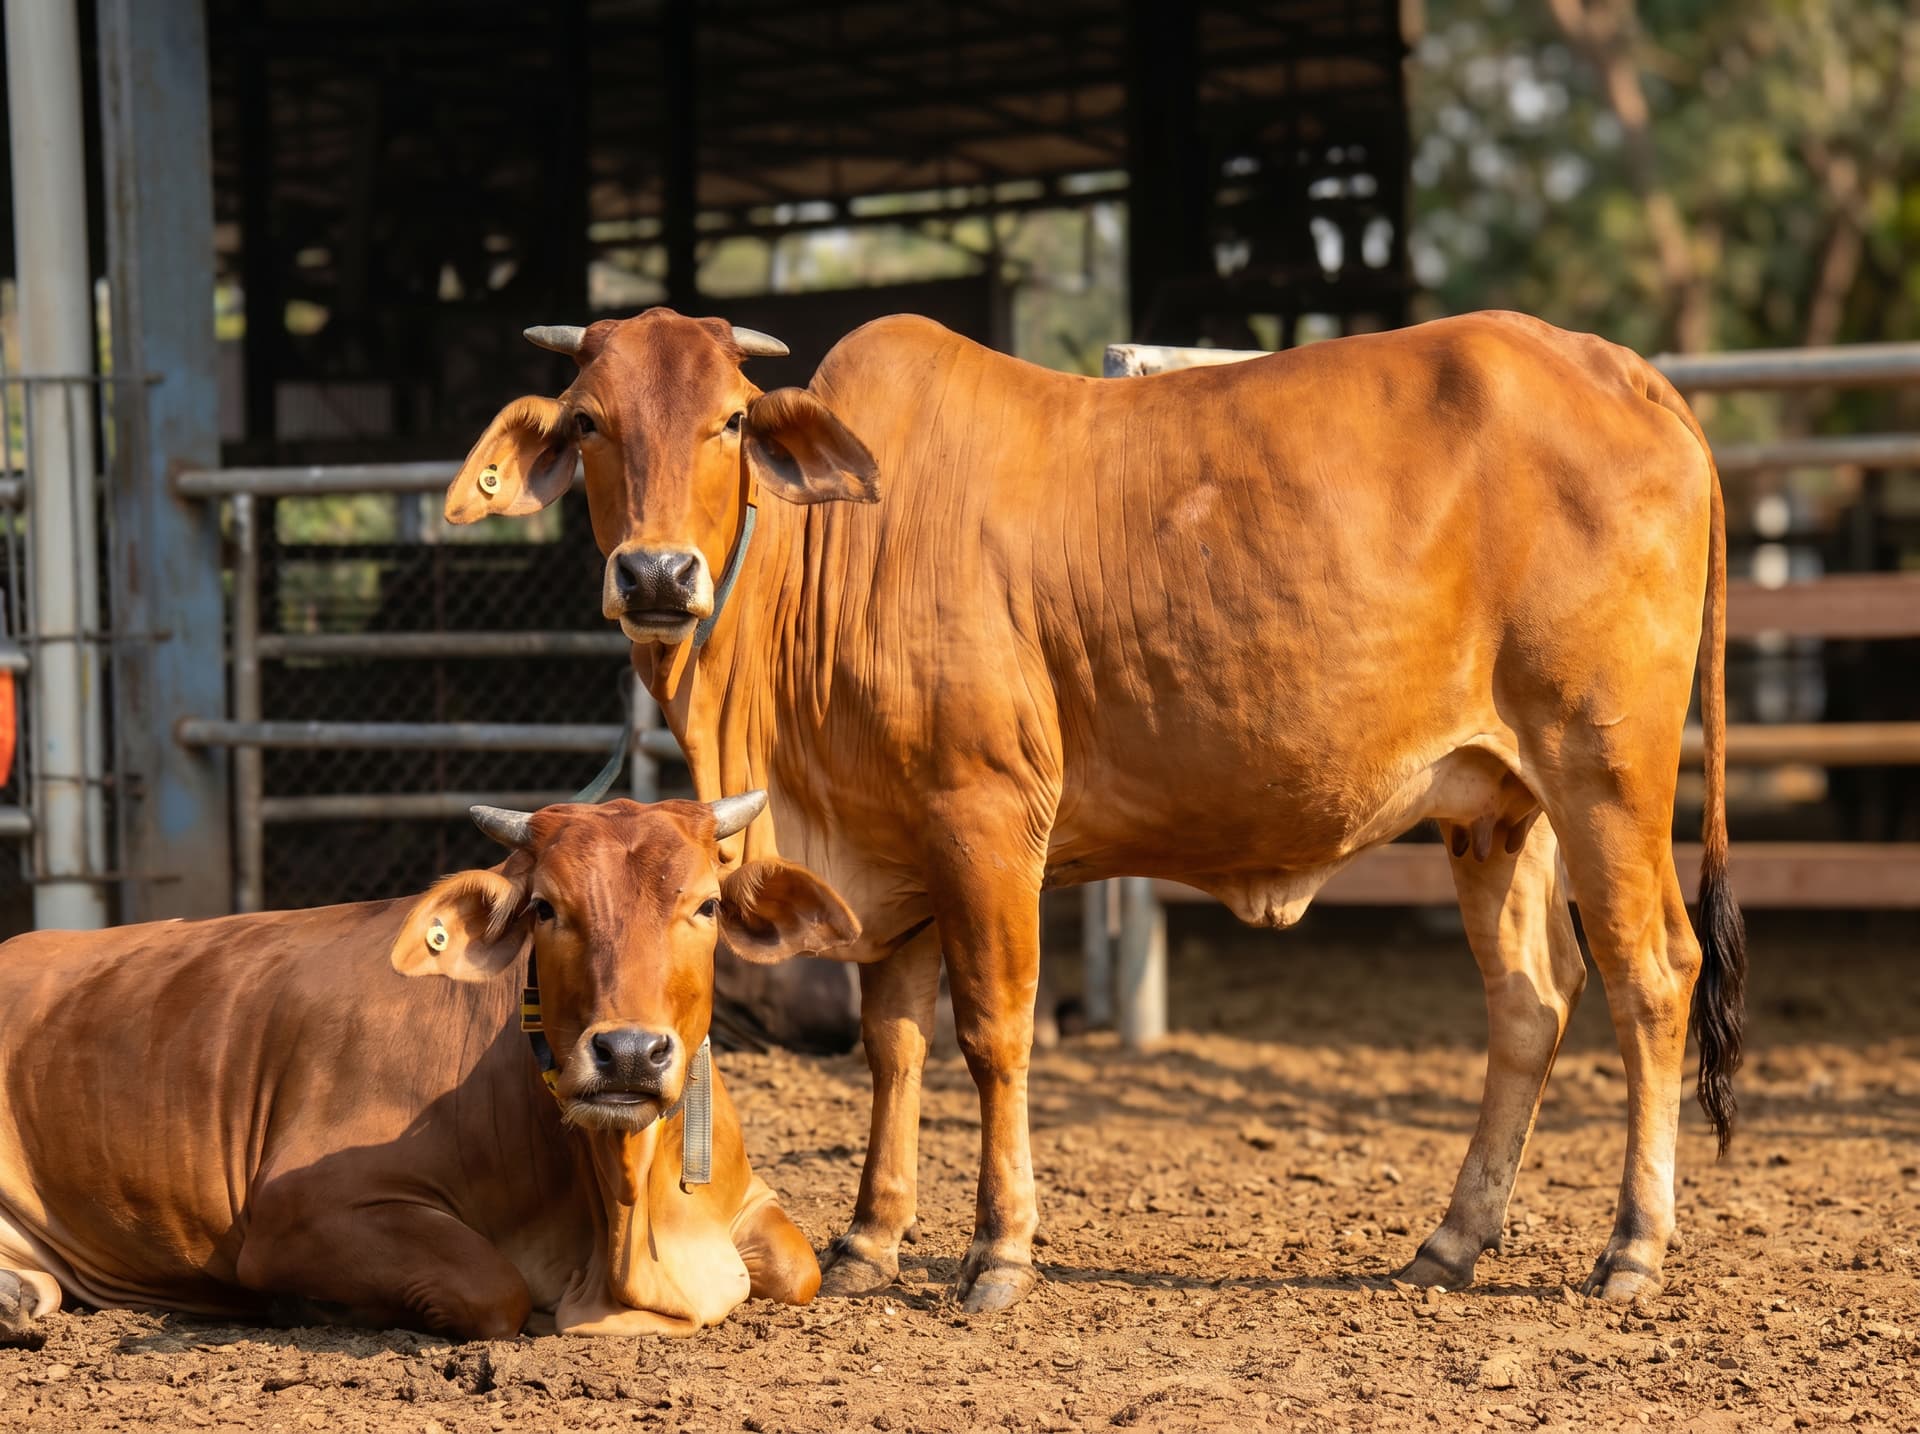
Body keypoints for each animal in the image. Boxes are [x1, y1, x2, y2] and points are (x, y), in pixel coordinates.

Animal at [0, 794, 860, 1342]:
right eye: (546, 907)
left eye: (707, 905)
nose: (627, 1054)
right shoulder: (300, 1212)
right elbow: (492, 1289)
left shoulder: (749, 1200)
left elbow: (800, 1266)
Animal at [443, 307, 1747, 1312]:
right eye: (590, 421)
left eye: (727, 419)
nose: (657, 576)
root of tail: (1618, 369)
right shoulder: (892, 853)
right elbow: (894, 1042)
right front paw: (870, 1241)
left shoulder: (984, 817)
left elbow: (994, 1032)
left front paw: (998, 1254)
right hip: (1496, 806)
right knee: (1529, 1002)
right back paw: (1451, 1240)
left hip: (1605, 773)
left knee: (1653, 976)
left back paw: (1633, 1249)